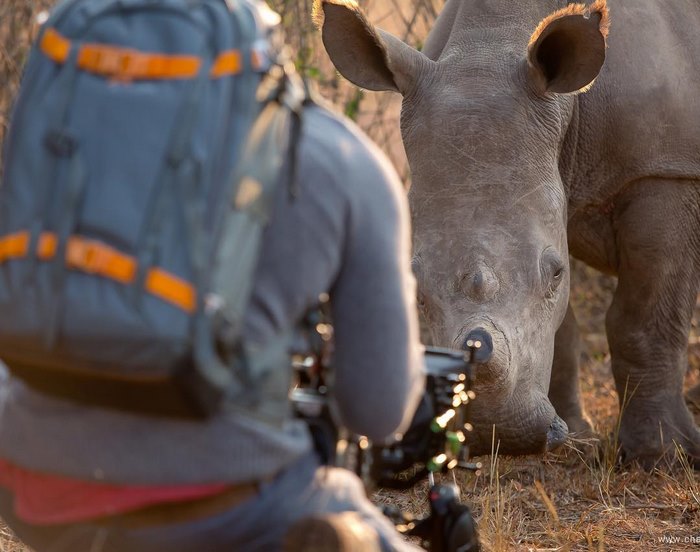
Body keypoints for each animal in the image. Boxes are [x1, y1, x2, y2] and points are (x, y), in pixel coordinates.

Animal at [315, 0, 700, 465]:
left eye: (554, 274)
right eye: (417, 291)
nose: (497, 433)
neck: (492, 46)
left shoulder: (666, 170)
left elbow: (644, 318)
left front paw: (661, 456)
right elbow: (562, 331)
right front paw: (575, 436)